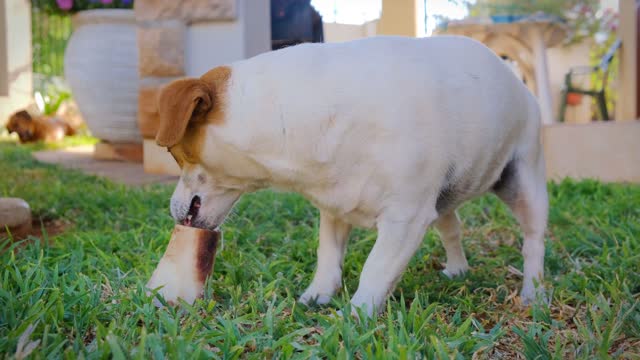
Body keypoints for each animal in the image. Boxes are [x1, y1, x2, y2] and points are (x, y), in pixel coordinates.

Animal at [152, 35, 548, 314]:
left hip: (523, 183)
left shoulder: (405, 220)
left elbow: (375, 270)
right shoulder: (335, 208)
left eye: (173, 154)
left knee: (533, 242)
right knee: (452, 229)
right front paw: (317, 295)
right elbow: (328, 258)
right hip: (443, 200)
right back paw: (457, 270)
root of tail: (516, 81)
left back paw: (534, 291)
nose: (172, 210)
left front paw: (356, 316)